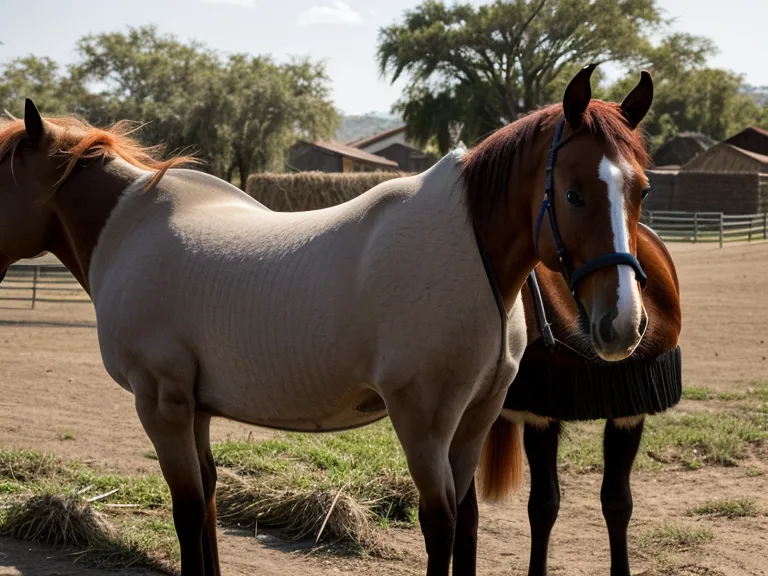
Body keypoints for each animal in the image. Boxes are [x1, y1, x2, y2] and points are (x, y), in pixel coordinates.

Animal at [0, 64, 653, 576]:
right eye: (573, 193)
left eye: (641, 190)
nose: (623, 323)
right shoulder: (191, 406)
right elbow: (204, 503)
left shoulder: (161, 403)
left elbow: (188, 513)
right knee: (462, 523)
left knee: (445, 524)